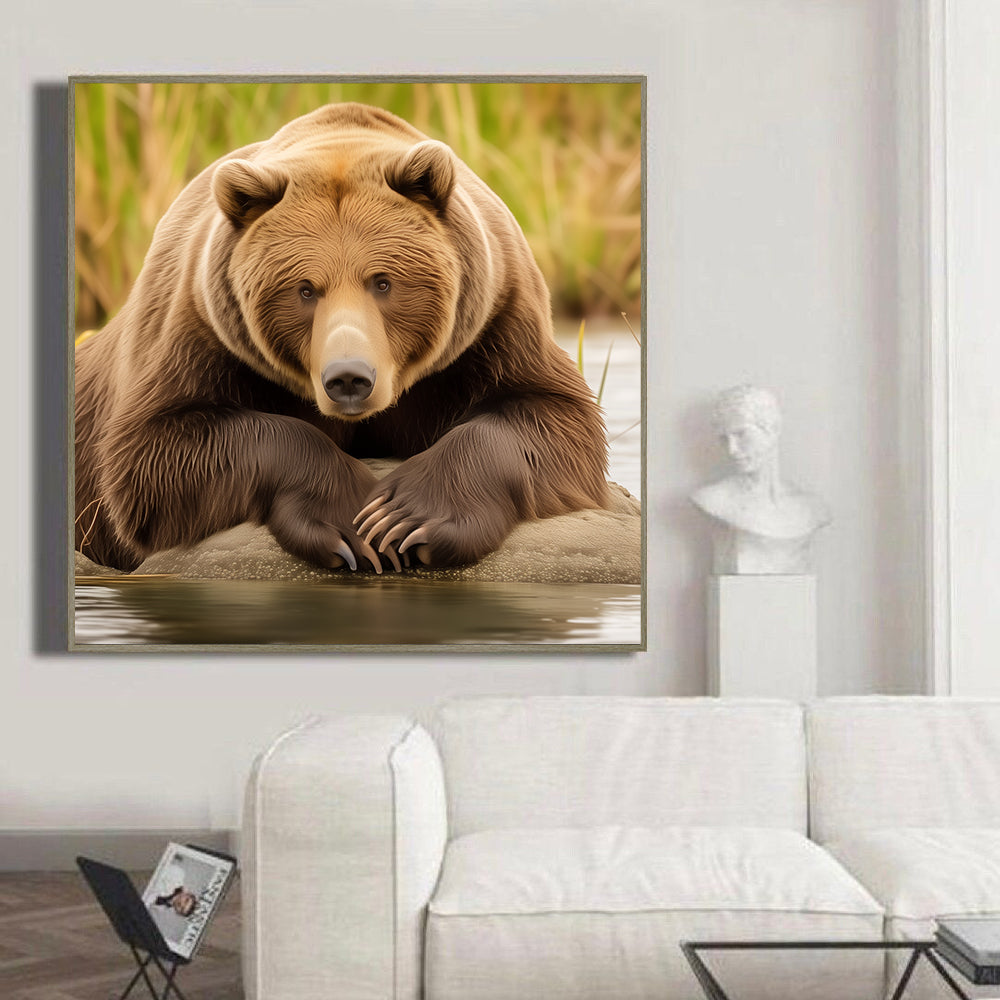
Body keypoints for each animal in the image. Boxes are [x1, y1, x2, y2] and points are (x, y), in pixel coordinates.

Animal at [75, 102, 610, 574]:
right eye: (305, 288)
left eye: (383, 281)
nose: (349, 378)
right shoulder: (201, 332)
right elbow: (153, 453)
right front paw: (351, 521)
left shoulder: (493, 323)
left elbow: (551, 417)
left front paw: (405, 518)